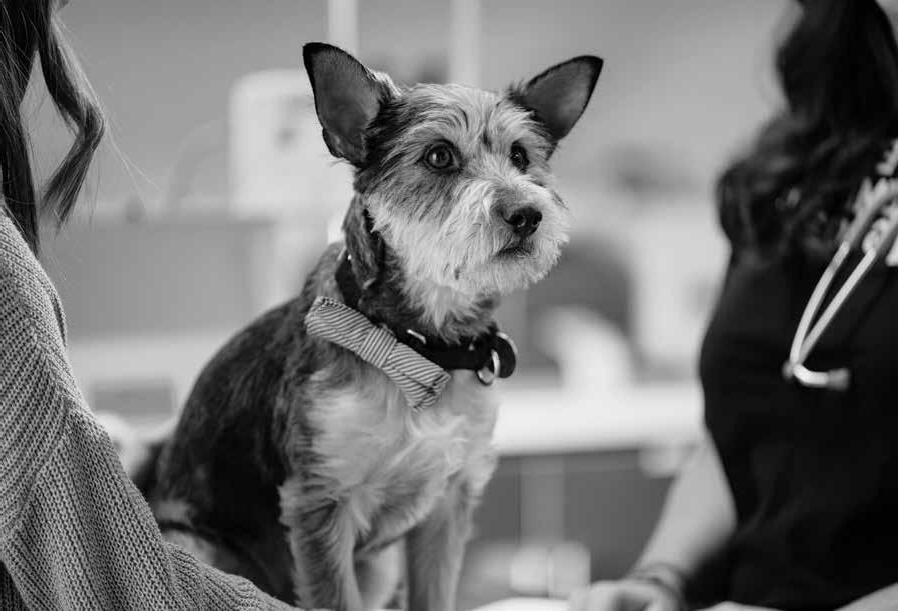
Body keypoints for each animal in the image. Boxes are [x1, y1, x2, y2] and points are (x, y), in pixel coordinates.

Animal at [148, 42, 602, 611]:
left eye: (521, 156)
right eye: (439, 156)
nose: (527, 214)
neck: (421, 349)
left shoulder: (447, 504)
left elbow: (435, 597)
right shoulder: (321, 503)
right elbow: (334, 597)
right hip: (199, 548)